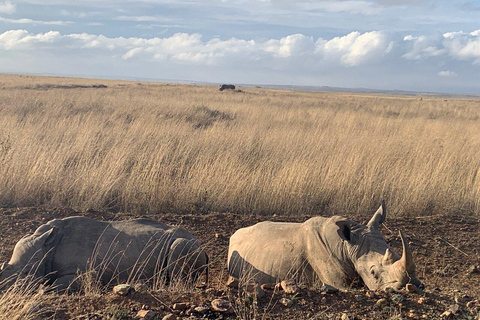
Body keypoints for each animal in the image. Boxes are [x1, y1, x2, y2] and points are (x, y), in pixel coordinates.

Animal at [0, 218, 209, 290]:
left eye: (26, 273)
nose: (4, 290)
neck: (47, 246)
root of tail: (201, 245)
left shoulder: (87, 273)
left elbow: (53, 286)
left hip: (187, 243)